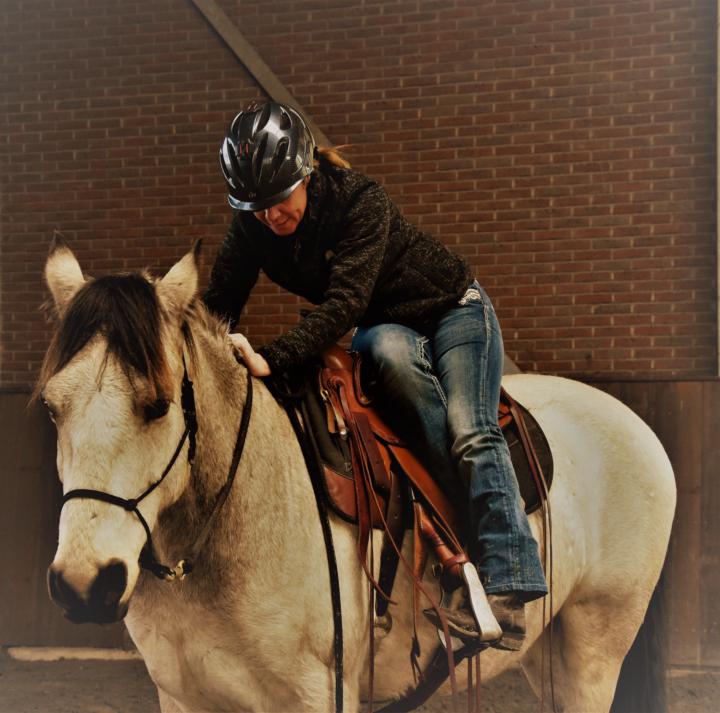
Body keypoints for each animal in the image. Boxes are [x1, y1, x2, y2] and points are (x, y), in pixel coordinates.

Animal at [39, 240, 676, 713]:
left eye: (158, 404)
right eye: (50, 406)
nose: (84, 584)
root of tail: (637, 426)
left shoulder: (316, 694)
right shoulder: (183, 697)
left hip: (594, 647)